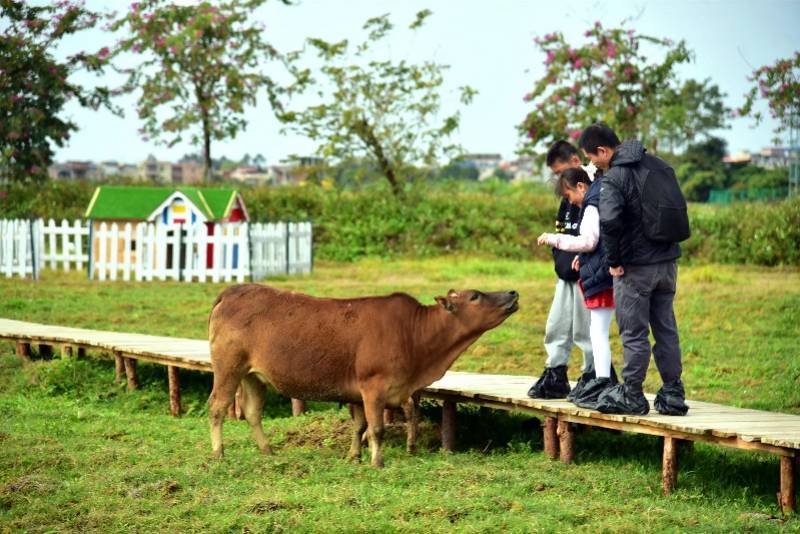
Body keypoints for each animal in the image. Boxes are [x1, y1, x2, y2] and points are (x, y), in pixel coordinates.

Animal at [206, 286, 520, 466]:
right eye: (475, 296)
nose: (512, 293)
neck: (414, 335)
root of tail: (233, 291)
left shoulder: (358, 392)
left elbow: (359, 426)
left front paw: (354, 455)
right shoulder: (373, 386)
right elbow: (376, 428)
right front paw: (376, 462)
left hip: (253, 375)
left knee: (252, 411)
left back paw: (267, 450)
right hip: (228, 367)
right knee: (217, 407)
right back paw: (219, 453)